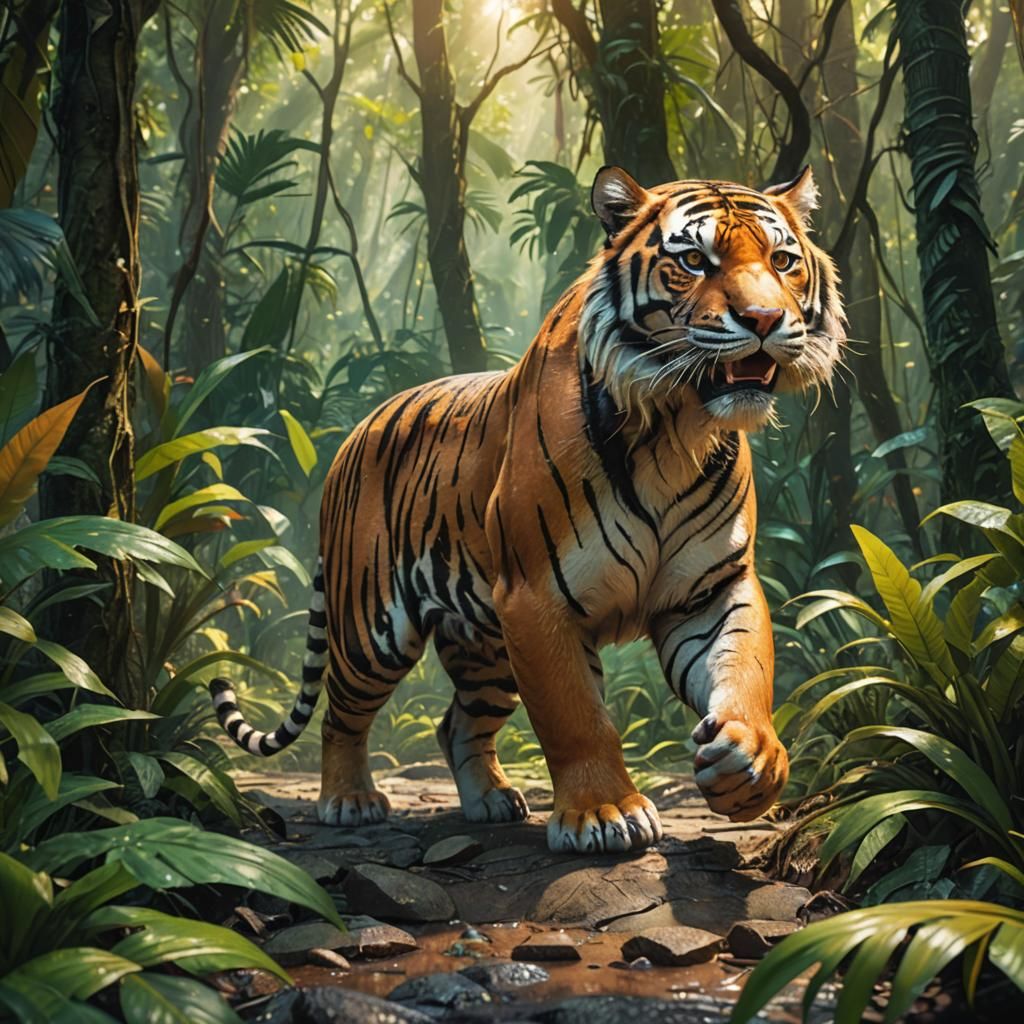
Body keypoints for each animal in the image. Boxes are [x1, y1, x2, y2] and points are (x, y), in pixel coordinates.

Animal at [210, 165, 845, 853]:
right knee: (340, 714)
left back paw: (490, 801)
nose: (764, 319)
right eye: (695, 261)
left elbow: (743, 668)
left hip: (485, 647)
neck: (675, 429)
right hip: (371, 629)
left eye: (783, 261)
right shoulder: (537, 596)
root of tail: (354, 433)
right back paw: (350, 801)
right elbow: (576, 717)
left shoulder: (709, 589)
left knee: (456, 723)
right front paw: (603, 812)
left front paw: (749, 762)